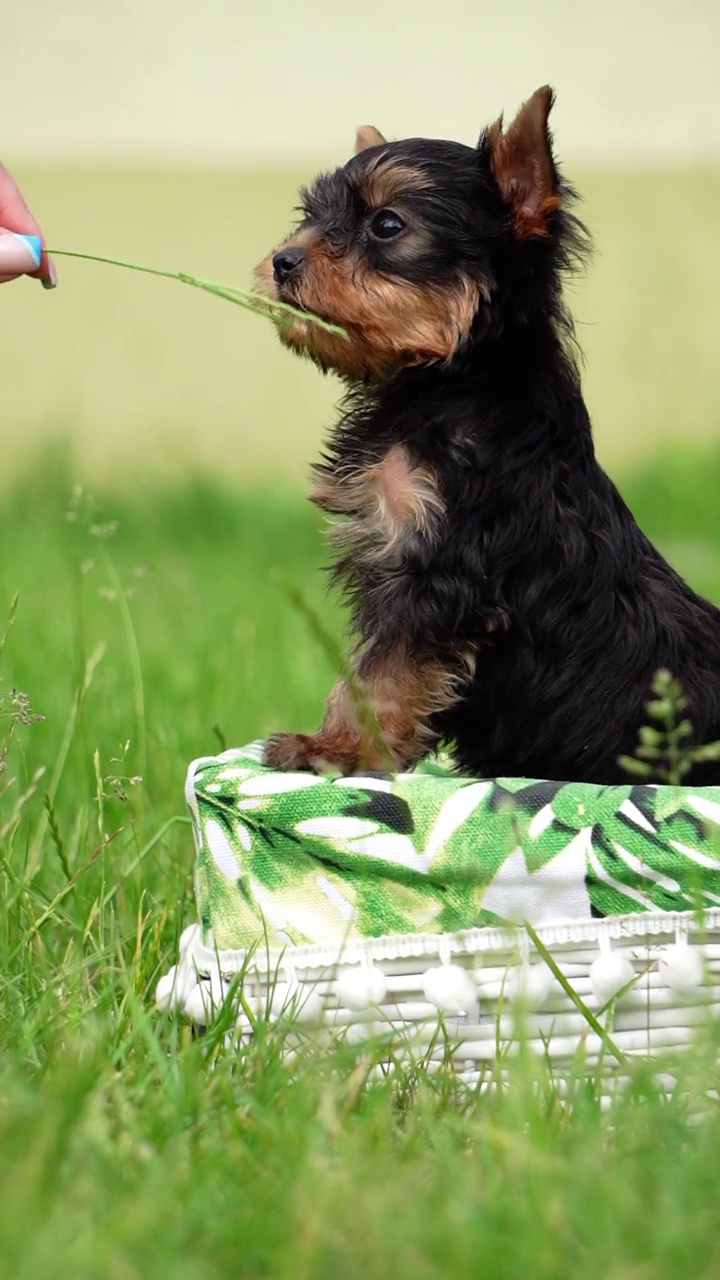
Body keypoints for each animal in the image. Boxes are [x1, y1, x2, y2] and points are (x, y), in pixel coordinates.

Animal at [252, 87, 717, 778]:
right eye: (308, 216)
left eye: (386, 225)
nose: (283, 260)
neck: (457, 377)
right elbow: (366, 668)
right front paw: (336, 743)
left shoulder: (442, 573)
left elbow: (383, 672)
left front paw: (338, 751)